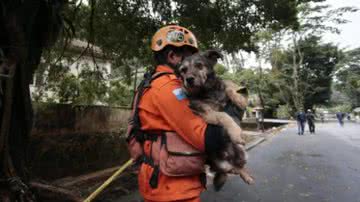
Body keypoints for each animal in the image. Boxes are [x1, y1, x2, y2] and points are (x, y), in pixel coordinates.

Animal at [179, 49, 255, 191]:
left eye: (199, 65)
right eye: (183, 70)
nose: (189, 80)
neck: (208, 91)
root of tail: (229, 158)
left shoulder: (239, 101)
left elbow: (230, 88)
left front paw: (234, 93)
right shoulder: (207, 113)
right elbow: (224, 115)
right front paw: (236, 132)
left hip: (243, 152)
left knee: (240, 167)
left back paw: (247, 177)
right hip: (222, 164)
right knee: (232, 170)